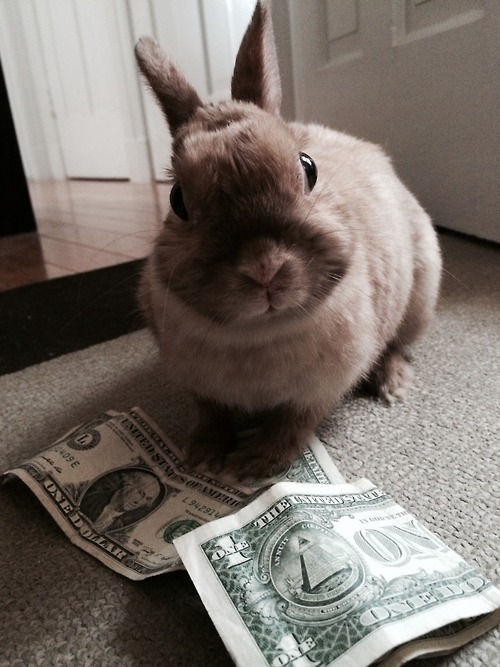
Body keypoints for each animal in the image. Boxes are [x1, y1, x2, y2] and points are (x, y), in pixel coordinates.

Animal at [134, 0, 441, 479]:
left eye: (308, 168)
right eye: (177, 200)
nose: (264, 268)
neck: (259, 334)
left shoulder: (317, 393)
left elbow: (293, 426)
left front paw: (251, 465)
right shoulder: (198, 387)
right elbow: (210, 413)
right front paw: (201, 457)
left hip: (420, 297)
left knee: (397, 346)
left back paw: (392, 385)